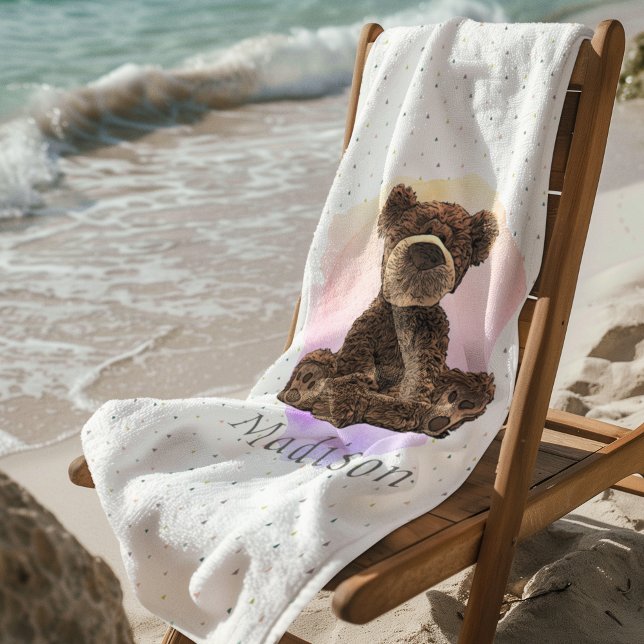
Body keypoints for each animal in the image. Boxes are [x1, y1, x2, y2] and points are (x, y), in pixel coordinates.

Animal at [277, 184, 499, 437]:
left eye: (450, 243)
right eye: (416, 229)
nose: (427, 252)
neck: (405, 309)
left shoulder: (430, 339)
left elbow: (418, 378)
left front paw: (399, 409)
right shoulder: (365, 333)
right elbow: (354, 370)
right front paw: (344, 403)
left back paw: (458, 402)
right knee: (323, 361)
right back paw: (307, 379)